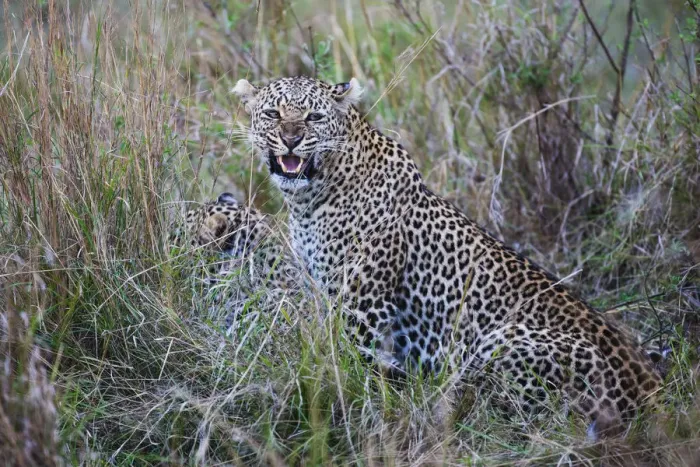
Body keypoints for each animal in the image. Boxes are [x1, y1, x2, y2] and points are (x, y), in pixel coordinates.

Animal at [179, 75, 662, 424]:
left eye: (314, 117)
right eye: (272, 113)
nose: (292, 138)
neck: (310, 199)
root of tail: (651, 392)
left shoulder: (363, 305)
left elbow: (353, 365)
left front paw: (361, 402)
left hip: (500, 343)